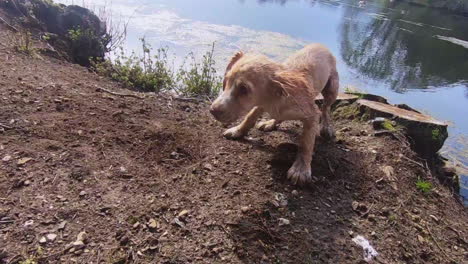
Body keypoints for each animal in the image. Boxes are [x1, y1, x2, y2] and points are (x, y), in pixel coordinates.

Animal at [210, 43, 338, 186]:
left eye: (244, 89)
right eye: (226, 80)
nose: (213, 110)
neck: (275, 99)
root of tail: (320, 44)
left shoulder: (312, 114)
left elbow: (306, 143)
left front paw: (301, 169)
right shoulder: (260, 104)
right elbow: (250, 116)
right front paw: (238, 130)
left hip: (332, 89)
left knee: (326, 108)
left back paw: (326, 127)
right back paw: (271, 123)